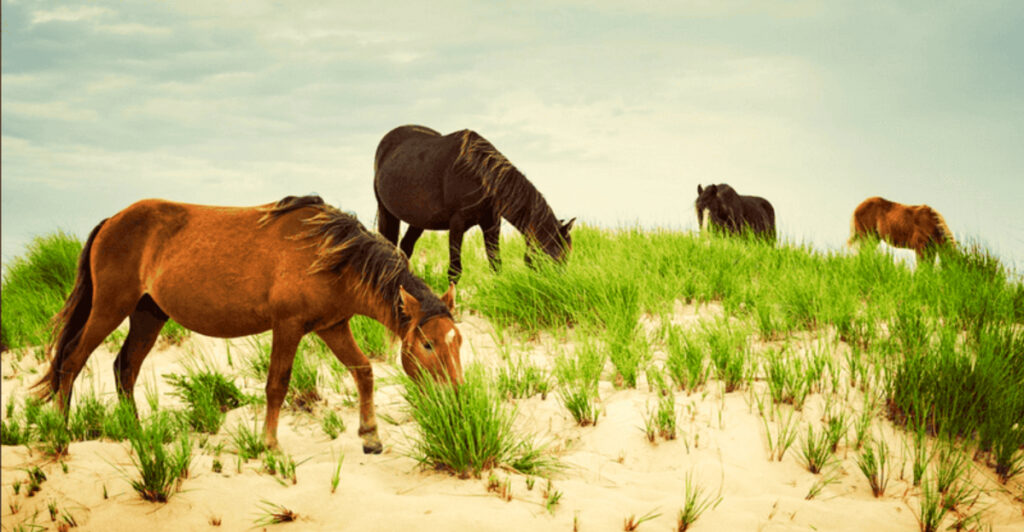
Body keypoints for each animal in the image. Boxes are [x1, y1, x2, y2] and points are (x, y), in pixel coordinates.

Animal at [34, 195, 462, 453]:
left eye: (457, 342)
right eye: (427, 344)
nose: (456, 397)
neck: (330, 255)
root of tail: (112, 220)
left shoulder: (333, 326)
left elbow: (363, 371)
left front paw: (370, 437)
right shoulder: (288, 326)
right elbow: (277, 385)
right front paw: (270, 445)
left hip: (147, 315)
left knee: (125, 368)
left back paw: (137, 435)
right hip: (110, 307)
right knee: (72, 360)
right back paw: (61, 435)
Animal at [374, 125, 575, 283]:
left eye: (566, 256)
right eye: (550, 256)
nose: (556, 287)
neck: (478, 175)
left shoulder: (491, 224)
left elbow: (495, 264)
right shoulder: (457, 224)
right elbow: (454, 270)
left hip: (419, 220)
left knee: (405, 247)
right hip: (386, 212)